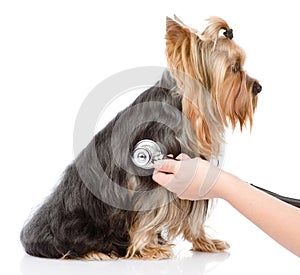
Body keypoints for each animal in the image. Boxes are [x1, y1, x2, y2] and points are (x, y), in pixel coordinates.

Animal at [20, 15, 260, 260]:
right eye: (234, 68)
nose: (258, 87)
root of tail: (33, 235)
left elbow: (193, 216)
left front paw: (205, 242)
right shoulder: (148, 176)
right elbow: (148, 211)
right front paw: (150, 248)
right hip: (78, 223)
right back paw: (95, 252)